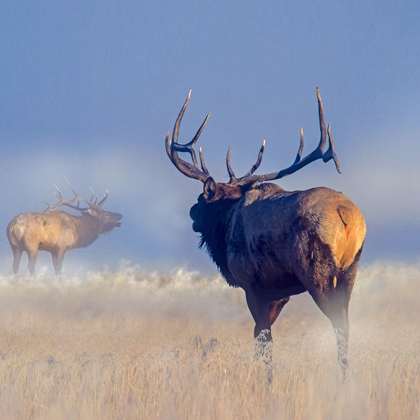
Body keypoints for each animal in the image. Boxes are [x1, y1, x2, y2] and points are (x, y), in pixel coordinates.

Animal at [166, 88, 366, 374]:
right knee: (347, 326)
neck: (226, 223)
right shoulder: (280, 294)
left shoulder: (252, 284)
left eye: (202, 199)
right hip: (351, 271)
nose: (192, 213)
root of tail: (346, 214)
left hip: (318, 272)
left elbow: (263, 339)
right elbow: (263, 337)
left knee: (338, 325)